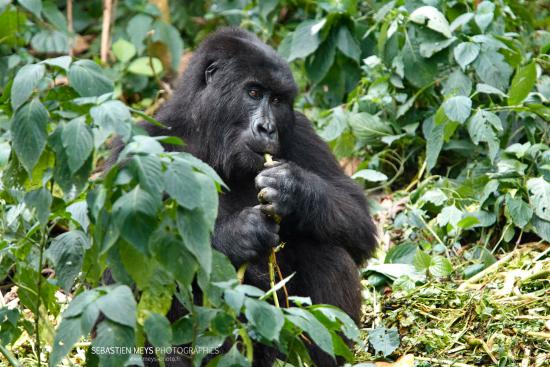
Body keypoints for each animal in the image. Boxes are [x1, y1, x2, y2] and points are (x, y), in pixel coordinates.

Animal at [135, 28, 380, 366]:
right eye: (253, 93)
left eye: (277, 100)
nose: (267, 128)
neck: (208, 138)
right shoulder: (142, 143)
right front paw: (240, 234)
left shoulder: (300, 130)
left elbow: (359, 222)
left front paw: (294, 190)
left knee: (327, 250)